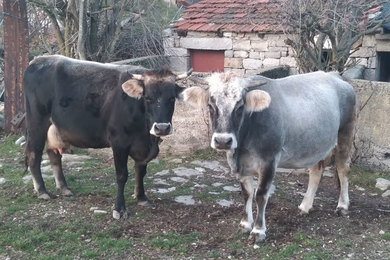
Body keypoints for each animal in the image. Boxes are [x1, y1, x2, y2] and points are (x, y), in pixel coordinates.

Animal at [183, 71, 356, 248]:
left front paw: (258, 231)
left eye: (240, 107)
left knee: (343, 168)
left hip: (346, 133)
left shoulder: (269, 160)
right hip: (316, 144)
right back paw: (305, 206)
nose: (223, 141)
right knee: (316, 170)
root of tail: (336, 76)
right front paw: (245, 224)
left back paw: (342, 205)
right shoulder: (242, 166)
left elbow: (260, 194)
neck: (242, 146)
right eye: (210, 105)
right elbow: (246, 193)